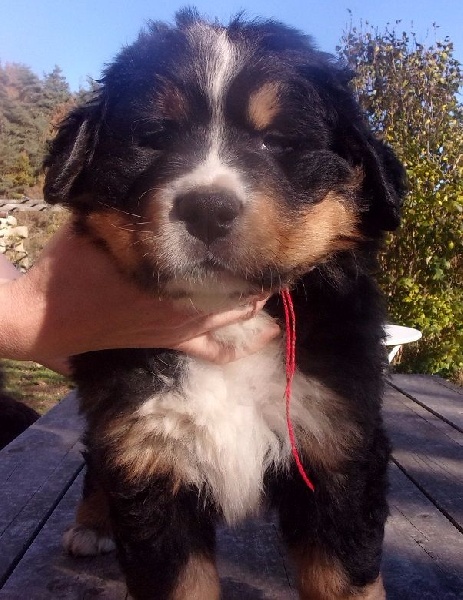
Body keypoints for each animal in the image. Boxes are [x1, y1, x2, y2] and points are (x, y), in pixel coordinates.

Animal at [44, 9, 406, 599]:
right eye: (155, 137)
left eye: (278, 140)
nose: (207, 208)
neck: (223, 323)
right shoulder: (148, 455)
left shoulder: (337, 452)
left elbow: (344, 579)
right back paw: (91, 524)